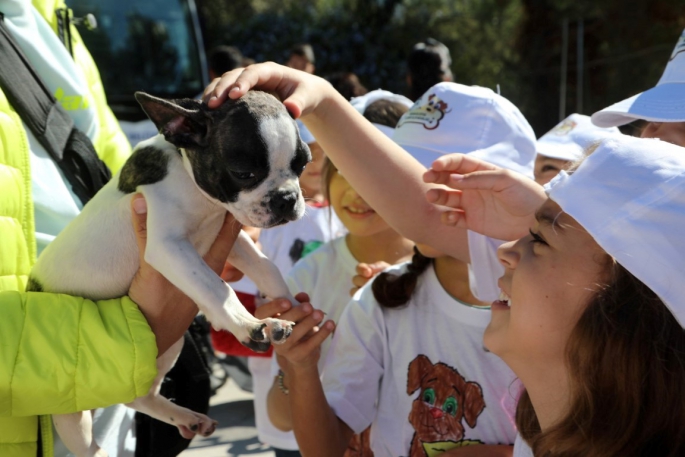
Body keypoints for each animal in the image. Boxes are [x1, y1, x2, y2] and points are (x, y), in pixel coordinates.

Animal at [28, 91, 310, 454]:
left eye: (302, 164)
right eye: (244, 173)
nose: (287, 198)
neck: (194, 187)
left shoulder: (229, 236)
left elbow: (265, 266)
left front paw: (290, 305)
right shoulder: (168, 246)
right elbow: (217, 288)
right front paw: (251, 324)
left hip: (168, 346)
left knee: (138, 396)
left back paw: (188, 417)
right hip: (68, 410)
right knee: (82, 436)